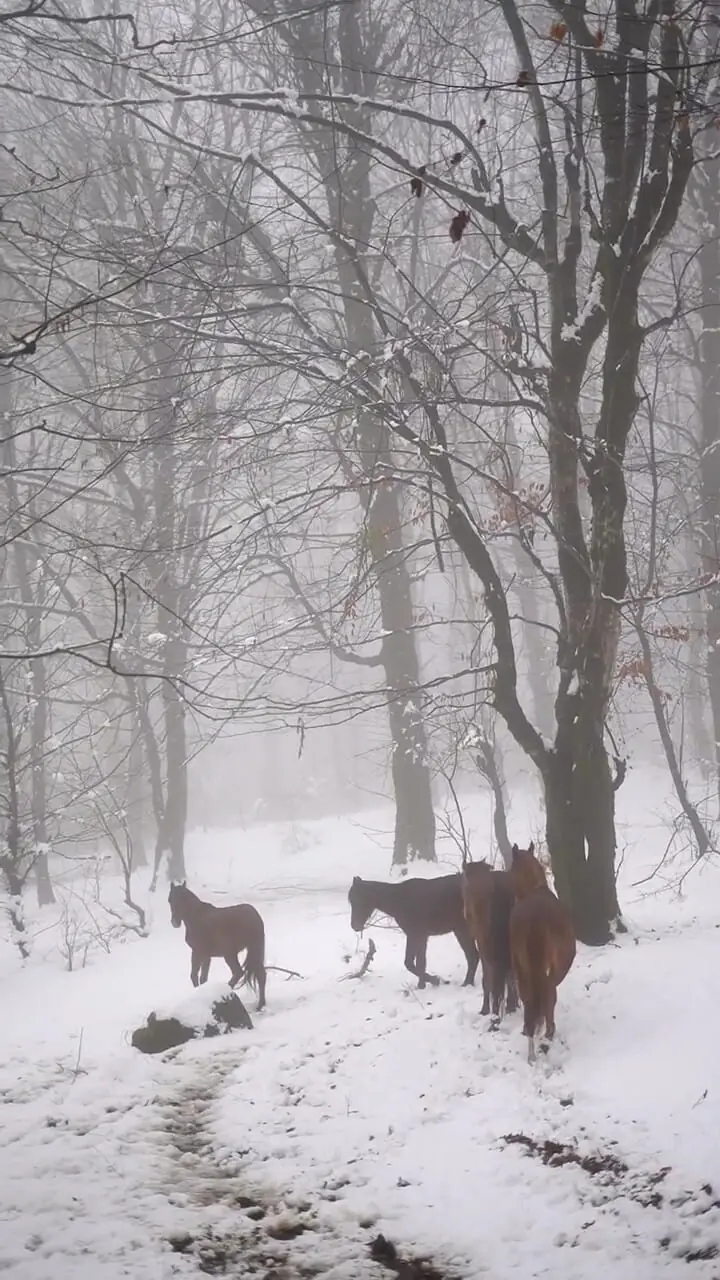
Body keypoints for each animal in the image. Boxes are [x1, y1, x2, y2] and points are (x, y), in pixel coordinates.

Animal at [167, 880, 266, 1008]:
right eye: (170, 900)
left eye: (182, 899)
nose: (175, 922)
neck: (197, 918)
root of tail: (255, 915)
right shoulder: (207, 956)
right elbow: (203, 978)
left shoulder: (197, 952)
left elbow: (194, 975)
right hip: (254, 950)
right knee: (261, 975)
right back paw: (261, 1005)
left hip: (230, 954)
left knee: (238, 973)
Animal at [345, 870, 476, 988]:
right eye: (351, 900)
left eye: (361, 899)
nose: (355, 926)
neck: (401, 901)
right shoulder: (414, 935)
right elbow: (414, 963)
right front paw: (425, 984)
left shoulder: (419, 935)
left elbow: (417, 963)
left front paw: (432, 981)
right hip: (460, 931)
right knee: (473, 956)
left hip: (464, 931)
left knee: (473, 956)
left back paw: (467, 984)